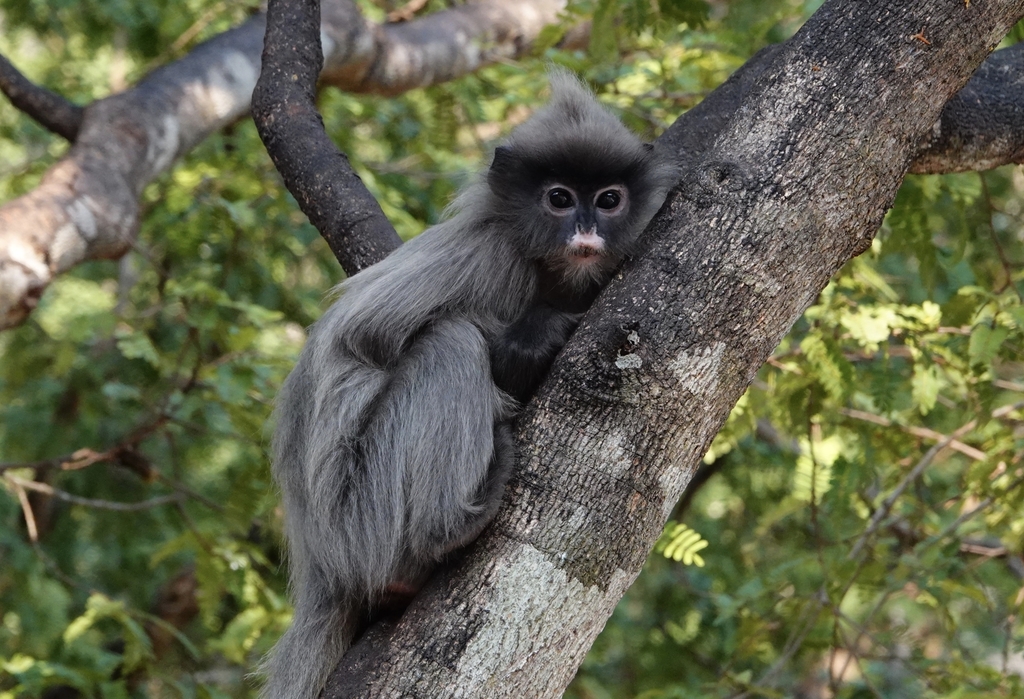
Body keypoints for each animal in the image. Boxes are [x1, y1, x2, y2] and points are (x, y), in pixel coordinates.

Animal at [264, 71, 675, 699]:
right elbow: (359, 343)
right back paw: (448, 530)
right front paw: (532, 339)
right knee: (449, 342)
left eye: (608, 200)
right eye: (559, 198)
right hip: (363, 516)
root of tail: (322, 571)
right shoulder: (488, 253)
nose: (585, 231)